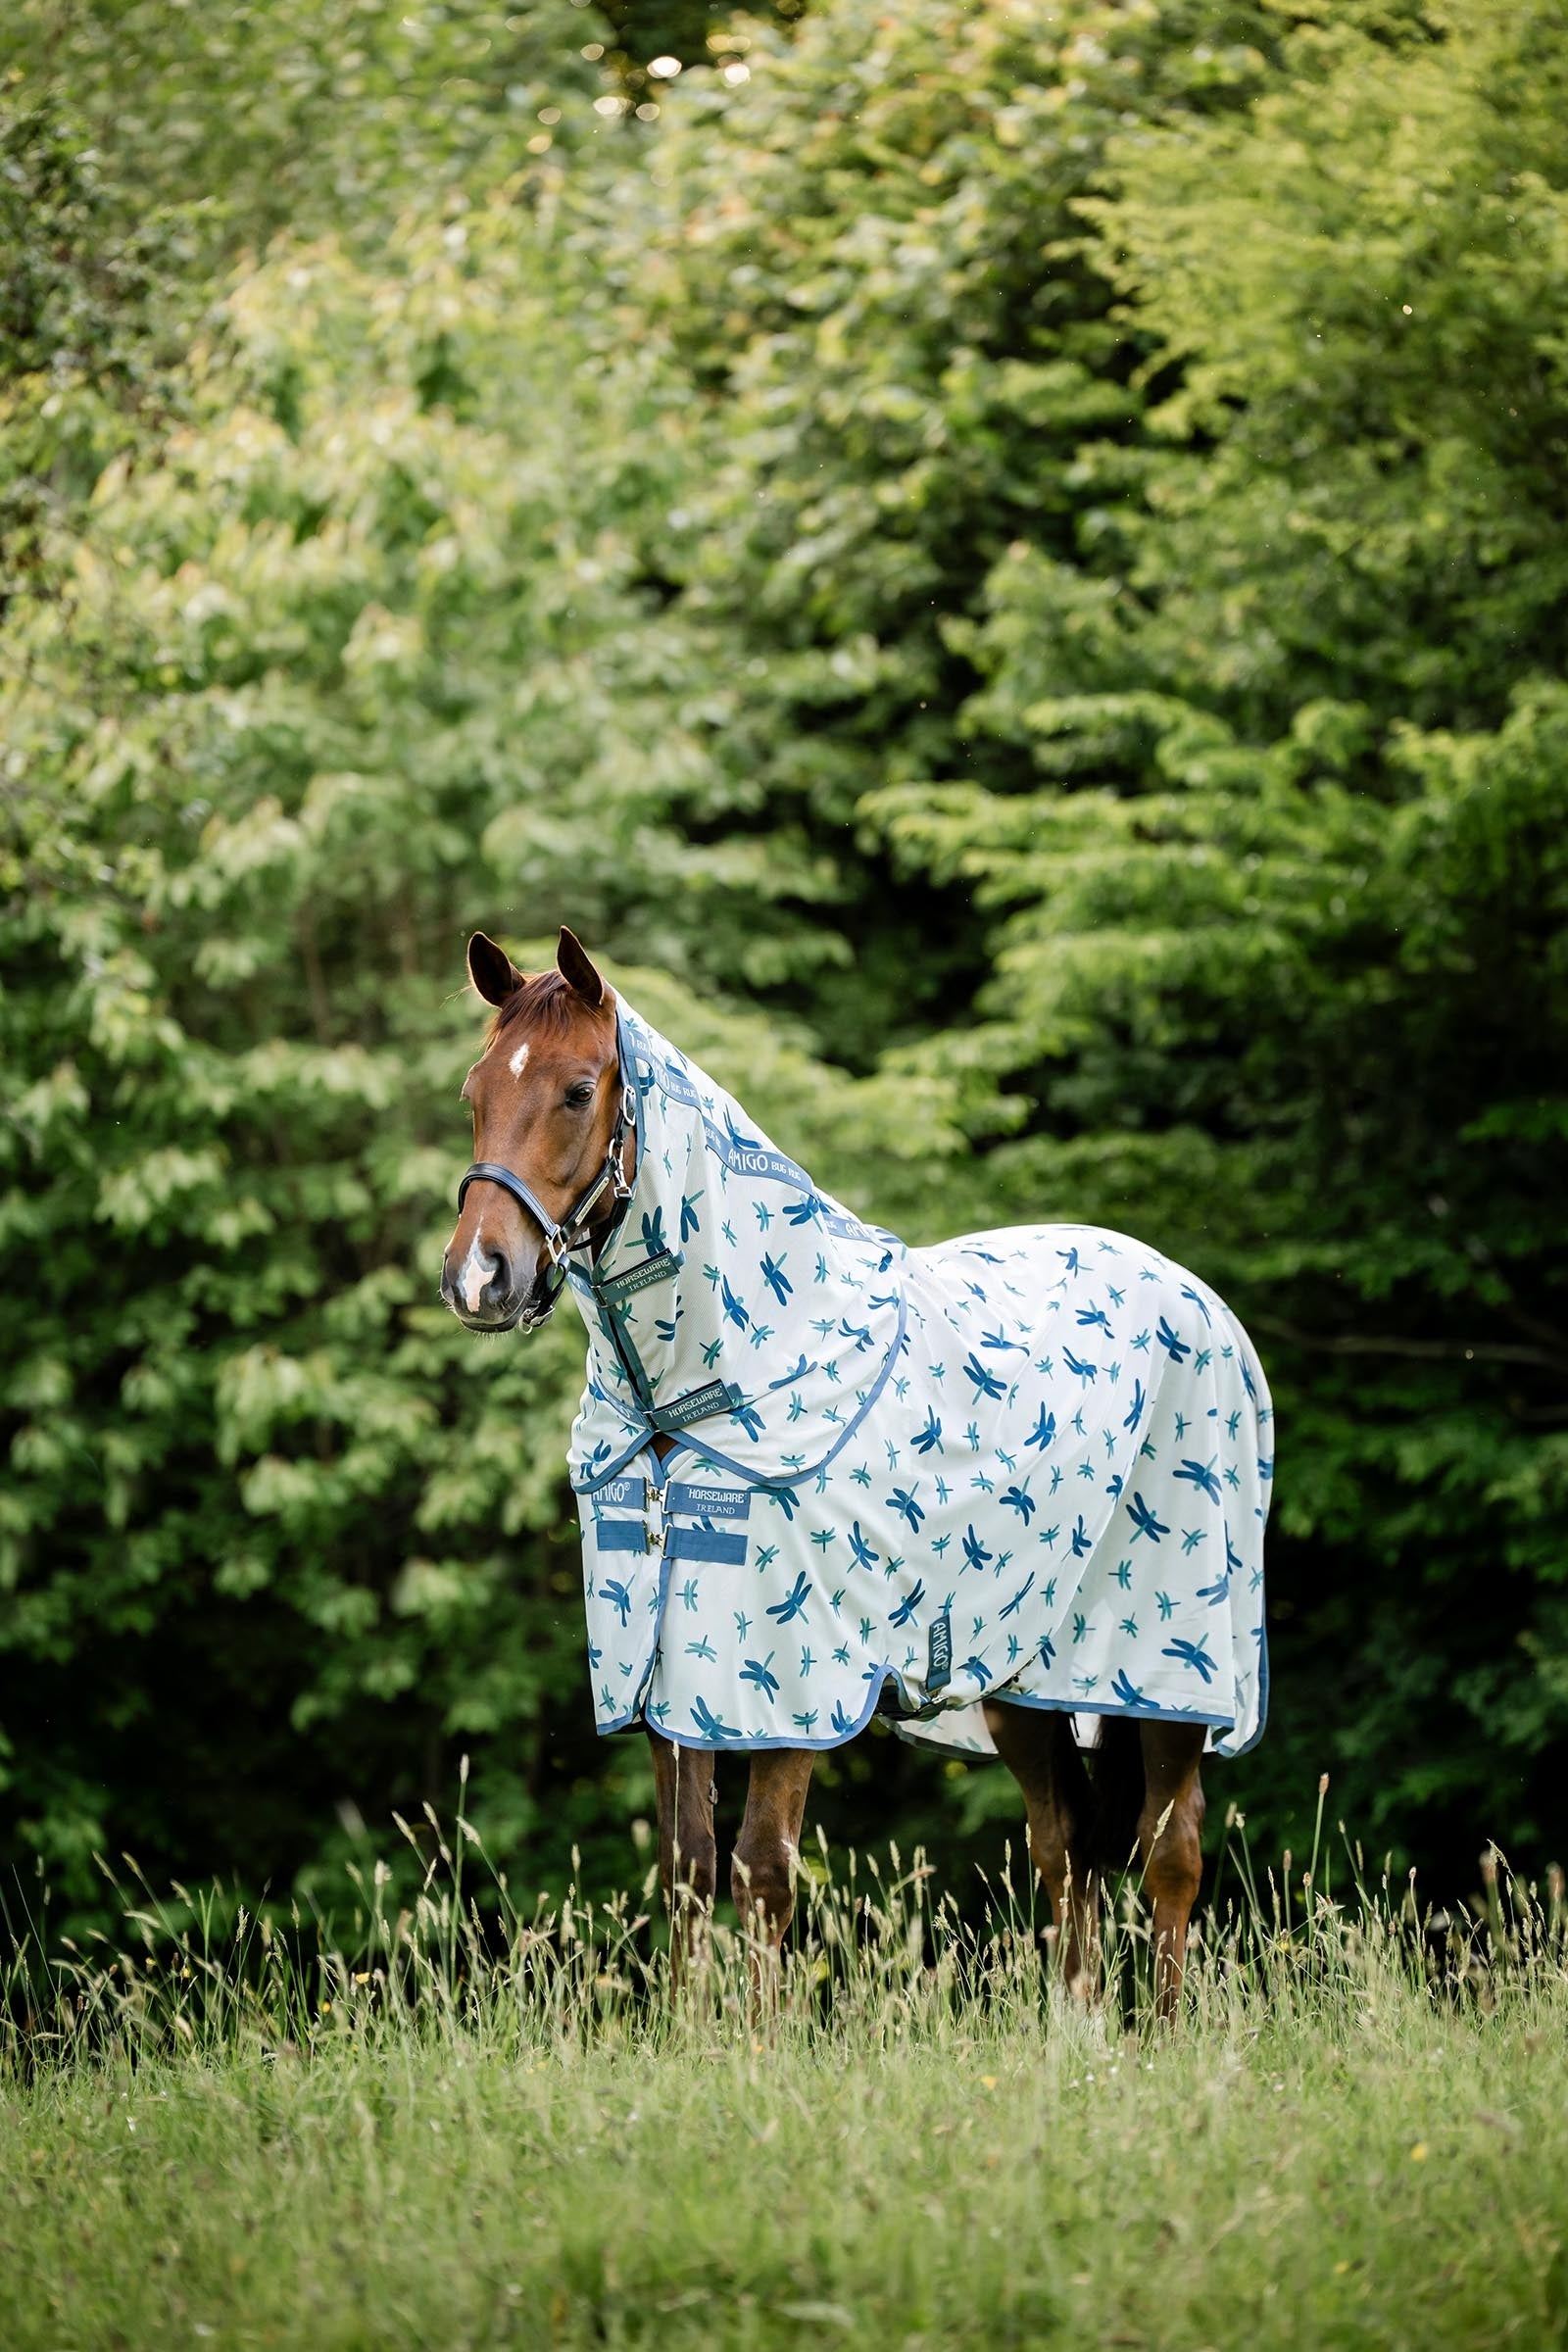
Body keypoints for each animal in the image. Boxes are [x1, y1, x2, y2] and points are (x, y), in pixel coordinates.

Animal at [440, 928, 1273, 2015]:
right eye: (473, 1092)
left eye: (579, 1091)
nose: (477, 1278)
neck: (701, 1391)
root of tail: (1199, 1303)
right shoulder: (668, 1673)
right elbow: (686, 1867)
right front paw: (691, 2038)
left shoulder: (790, 1683)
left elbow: (760, 1869)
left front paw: (751, 2044)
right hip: (1021, 1680)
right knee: (1066, 1850)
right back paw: (1076, 2037)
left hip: (1167, 1684)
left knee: (1169, 1852)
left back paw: (1163, 2036)